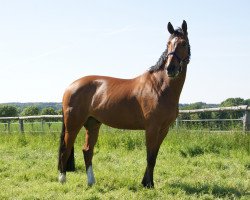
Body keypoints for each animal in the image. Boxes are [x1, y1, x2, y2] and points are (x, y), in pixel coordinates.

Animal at [58, 20, 191, 188]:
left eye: (184, 43)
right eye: (168, 44)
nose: (170, 69)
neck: (159, 87)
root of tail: (70, 87)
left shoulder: (163, 129)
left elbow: (154, 156)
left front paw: (146, 182)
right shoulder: (152, 128)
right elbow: (149, 156)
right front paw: (148, 184)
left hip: (93, 124)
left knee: (87, 150)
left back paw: (91, 181)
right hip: (73, 125)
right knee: (66, 149)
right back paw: (62, 179)